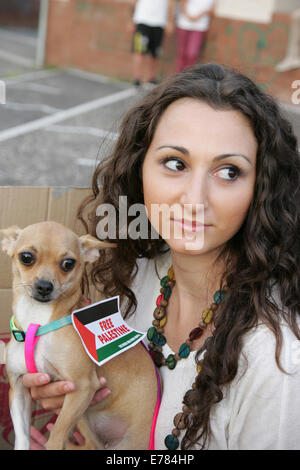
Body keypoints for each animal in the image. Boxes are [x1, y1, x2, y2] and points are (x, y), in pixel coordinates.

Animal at [1, 222, 157, 450]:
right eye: (26, 257)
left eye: (68, 263)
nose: (44, 286)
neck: (37, 323)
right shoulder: (19, 390)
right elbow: (22, 437)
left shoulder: (83, 387)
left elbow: (56, 437)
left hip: (96, 419)